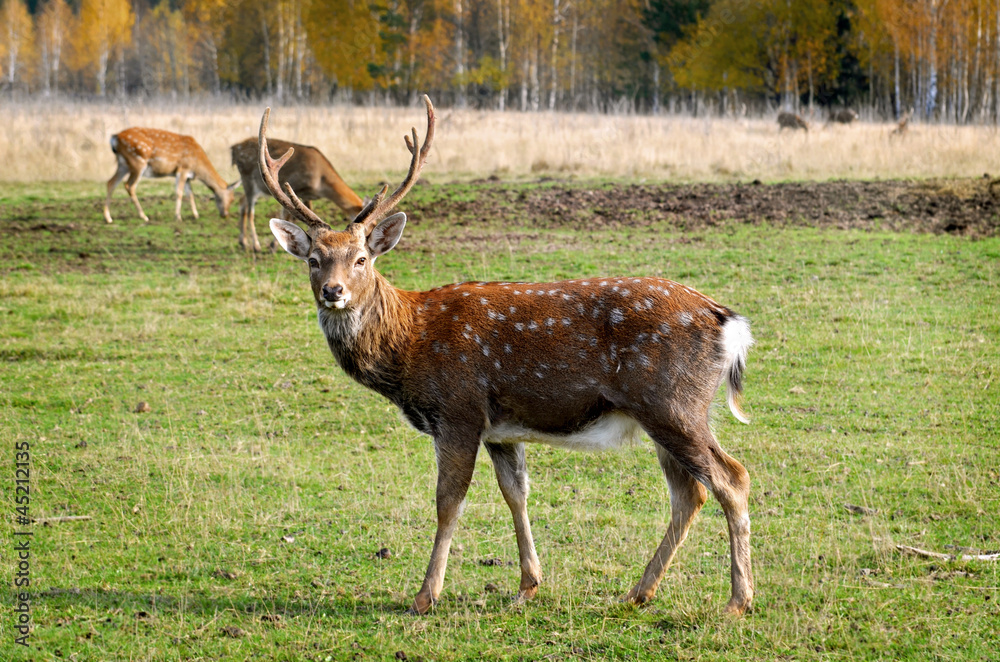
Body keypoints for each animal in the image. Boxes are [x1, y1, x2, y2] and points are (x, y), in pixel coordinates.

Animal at [103, 127, 239, 224]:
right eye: (231, 198)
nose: (225, 215)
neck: (197, 165)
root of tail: (114, 138)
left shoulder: (188, 176)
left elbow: (190, 194)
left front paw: (196, 215)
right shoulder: (182, 169)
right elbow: (179, 193)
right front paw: (178, 217)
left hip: (123, 164)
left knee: (111, 182)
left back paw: (108, 218)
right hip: (137, 161)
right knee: (129, 186)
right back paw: (144, 216)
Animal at [230, 136, 365, 252]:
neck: (320, 183)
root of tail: (233, 149)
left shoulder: (306, 196)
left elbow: (305, 214)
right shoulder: (292, 186)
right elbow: (285, 216)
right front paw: (273, 247)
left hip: (254, 186)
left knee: (242, 203)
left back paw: (243, 242)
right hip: (248, 179)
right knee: (250, 211)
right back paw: (256, 246)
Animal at [261, 95, 756, 617]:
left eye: (361, 259)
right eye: (313, 260)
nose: (333, 291)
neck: (409, 345)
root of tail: (728, 322)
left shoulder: (459, 409)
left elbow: (448, 500)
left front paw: (425, 595)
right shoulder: (500, 428)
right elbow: (515, 493)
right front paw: (527, 584)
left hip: (672, 402)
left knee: (731, 478)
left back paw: (737, 600)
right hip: (668, 411)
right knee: (689, 492)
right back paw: (640, 591)